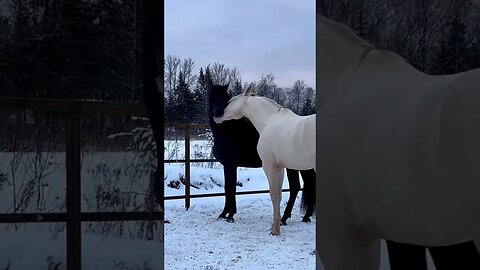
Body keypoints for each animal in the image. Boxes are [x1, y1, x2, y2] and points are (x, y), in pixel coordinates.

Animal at [214, 87, 316, 235]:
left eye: (230, 101)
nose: (217, 116)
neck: (269, 121)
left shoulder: (269, 166)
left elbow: (273, 195)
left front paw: (275, 230)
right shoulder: (279, 167)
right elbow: (278, 195)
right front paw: (277, 224)